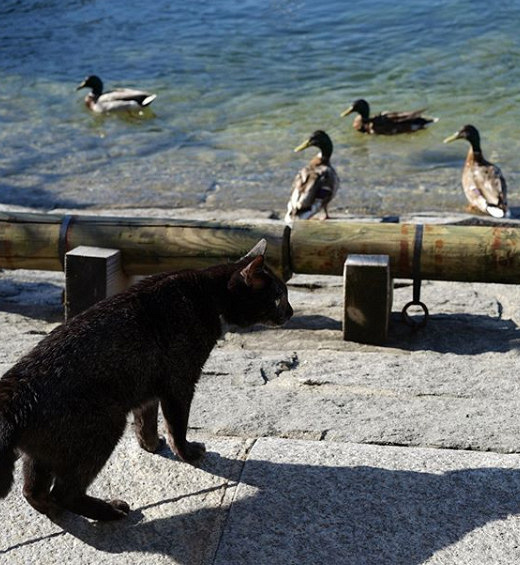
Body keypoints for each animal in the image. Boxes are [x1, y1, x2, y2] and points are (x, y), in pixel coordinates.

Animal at [0, 238, 290, 520]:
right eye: (278, 296)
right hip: (105, 426)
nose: (290, 311)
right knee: (65, 492)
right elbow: (177, 427)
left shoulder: (147, 391)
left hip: (44, 451)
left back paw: (53, 509)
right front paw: (186, 453)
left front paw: (151, 446)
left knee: (32, 491)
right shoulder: (179, 383)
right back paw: (110, 512)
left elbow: (146, 423)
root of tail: (13, 395)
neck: (207, 295)